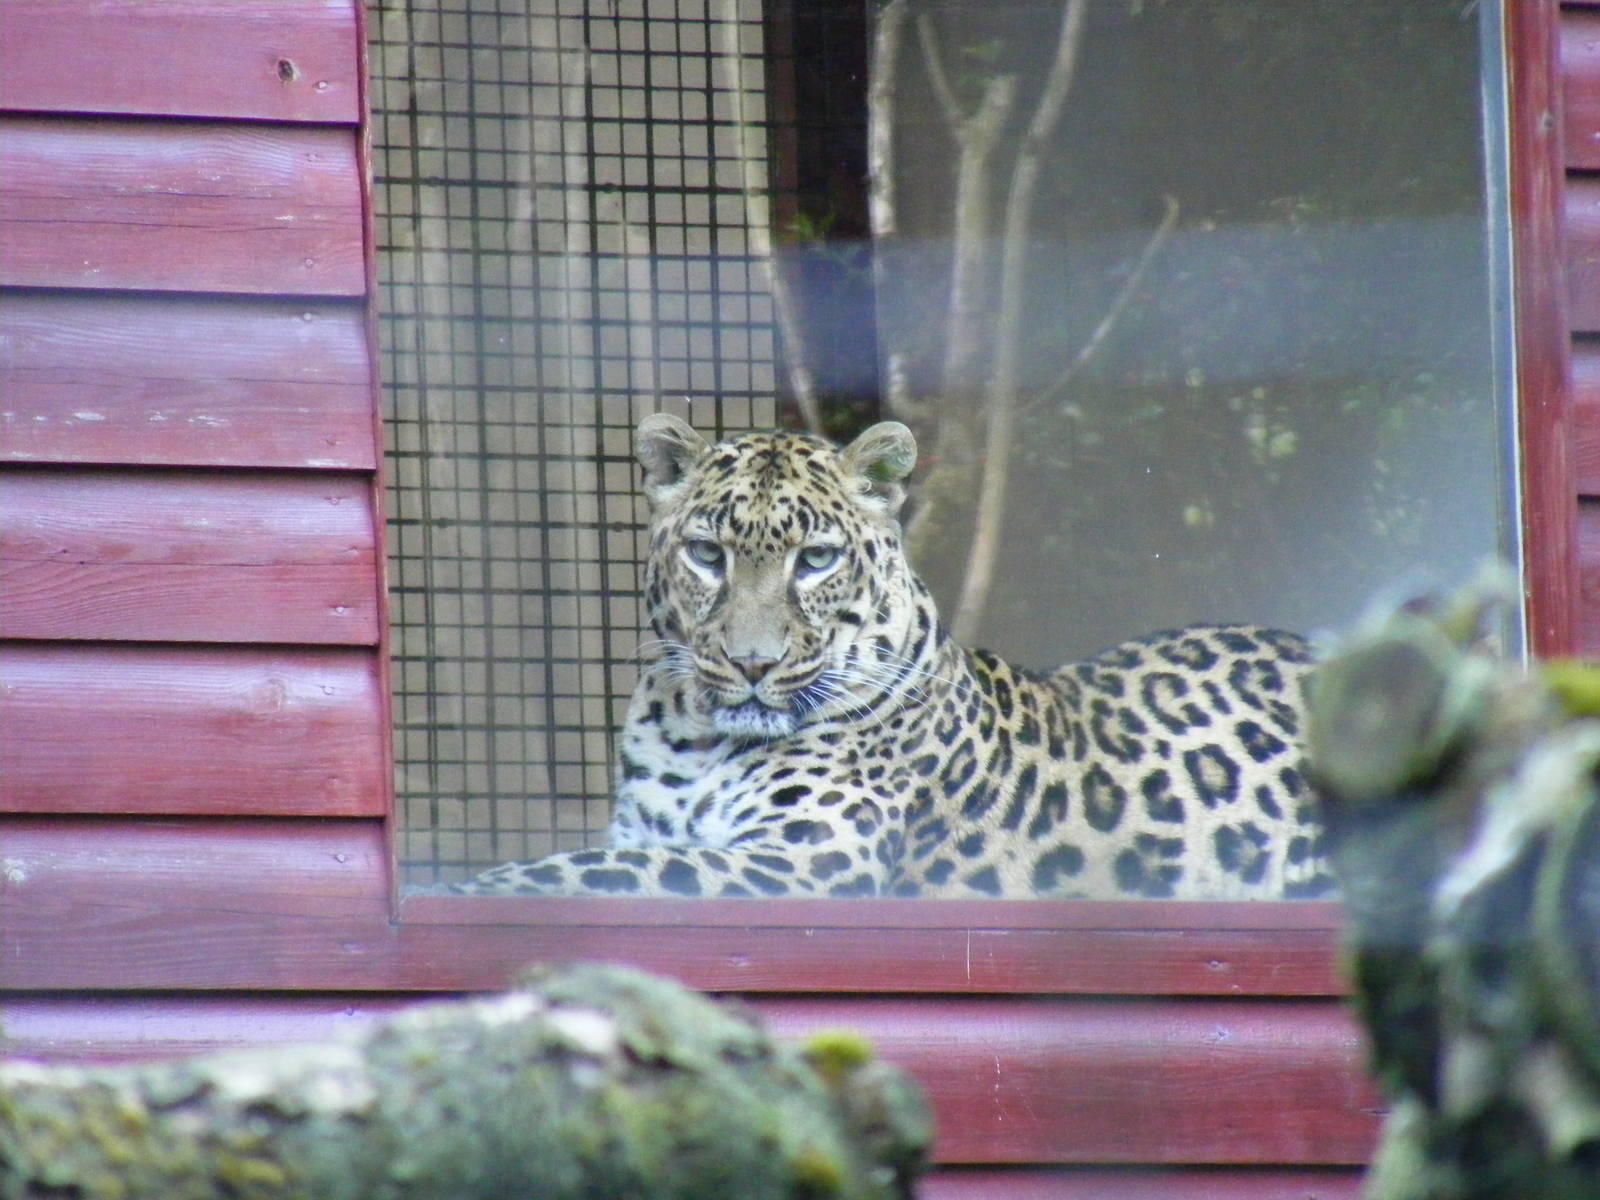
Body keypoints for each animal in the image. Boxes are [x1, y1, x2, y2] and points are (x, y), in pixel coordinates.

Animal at [454, 413, 1334, 900]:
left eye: (814, 560)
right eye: (708, 554)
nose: (751, 664)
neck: (694, 736)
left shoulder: (803, 858)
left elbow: (596, 871)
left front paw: (464, 883)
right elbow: (608, 859)